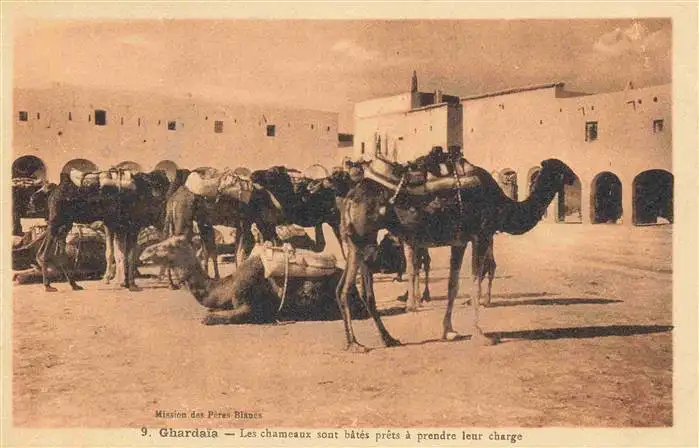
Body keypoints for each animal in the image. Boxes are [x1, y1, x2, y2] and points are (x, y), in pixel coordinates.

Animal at [34, 168, 172, 290]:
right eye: (162, 185)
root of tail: (55, 191)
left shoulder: (116, 225)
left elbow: (118, 253)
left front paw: (123, 282)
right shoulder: (128, 226)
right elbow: (125, 255)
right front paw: (127, 284)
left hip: (65, 223)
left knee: (55, 253)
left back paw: (74, 285)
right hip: (57, 220)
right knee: (44, 253)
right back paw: (48, 285)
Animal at [336, 159, 576, 352]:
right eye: (562, 169)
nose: (574, 178)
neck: (500, 204)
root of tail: (350, 197)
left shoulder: (459, 242)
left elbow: (454, 285)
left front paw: (449, 331)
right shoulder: (482, 235)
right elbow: (475, 282)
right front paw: (480, 335)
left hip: (361, 241)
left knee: (359, 291)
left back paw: (388, 339)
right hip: (362, 239)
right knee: (347, 289)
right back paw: (355, 344)